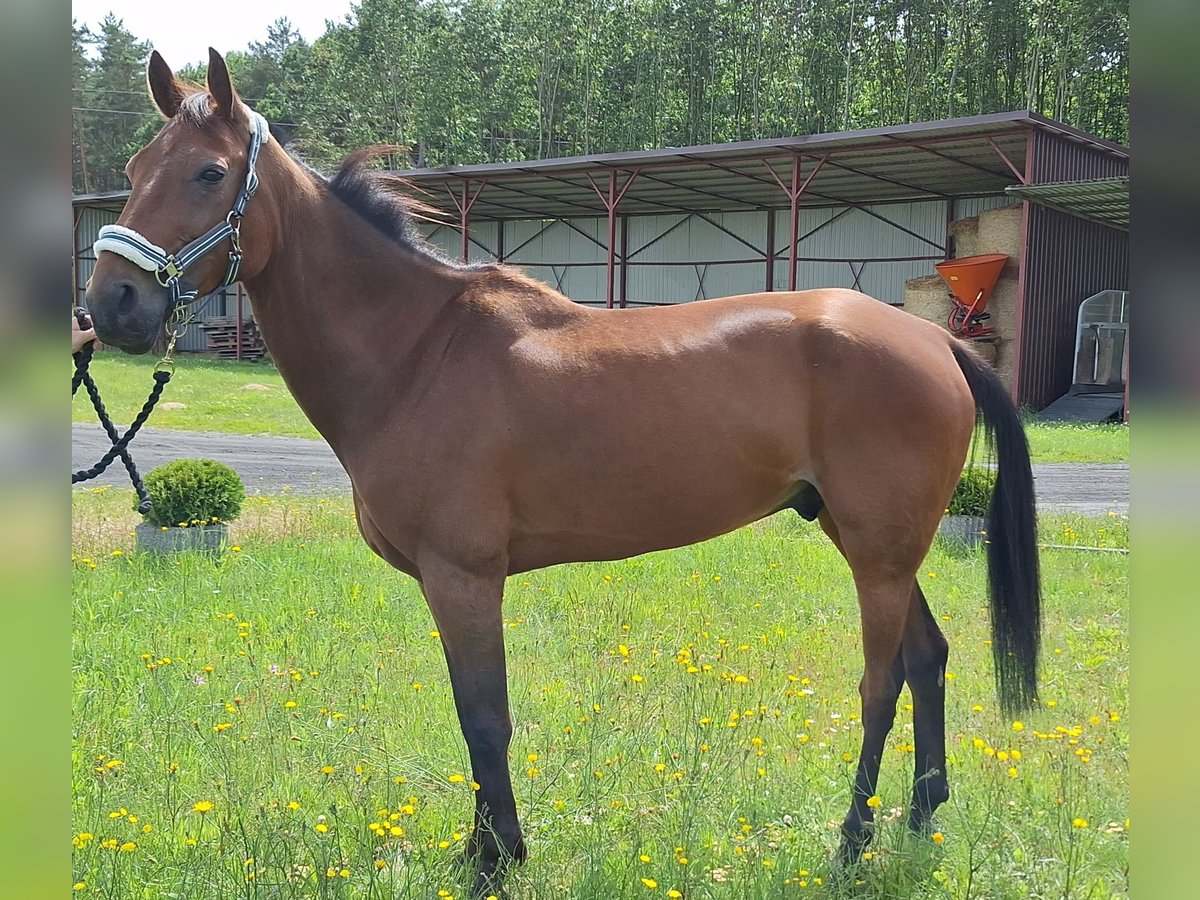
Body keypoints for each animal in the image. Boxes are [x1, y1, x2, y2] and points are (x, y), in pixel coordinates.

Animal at [87, 47, 1041, 897]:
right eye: (133, 168)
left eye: (209, 173)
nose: (109, 304)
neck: (417, 351)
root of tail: (936, 341)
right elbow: (474, 719)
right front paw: (484, 852)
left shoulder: (464, 576)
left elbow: (484, 719)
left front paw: (493, 863)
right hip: (871, 540)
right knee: (929, 657)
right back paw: (921, 818)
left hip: (878, 552)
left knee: (883, 683)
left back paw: (850, 847)